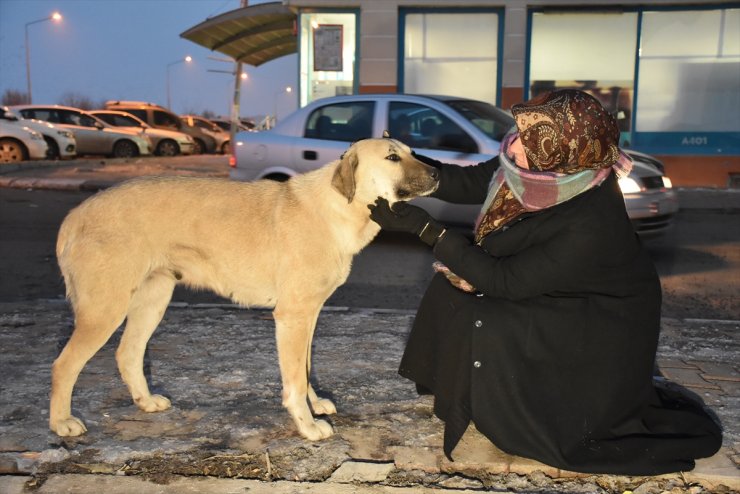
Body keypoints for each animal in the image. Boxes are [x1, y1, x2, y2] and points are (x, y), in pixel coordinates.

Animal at [50, 138, 440, 440]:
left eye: (412, 151)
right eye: (392, 157)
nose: (438, 173)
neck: (337, 208)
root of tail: (76, 214)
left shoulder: (309, 316)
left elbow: (306, 371)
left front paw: (315, 405)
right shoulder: (292, 317)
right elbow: (294, 381)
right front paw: (307, 426)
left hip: (152, 302)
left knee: (128, 355)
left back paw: (145, 402)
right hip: (104, 312)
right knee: (63, 365)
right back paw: (61, 422)